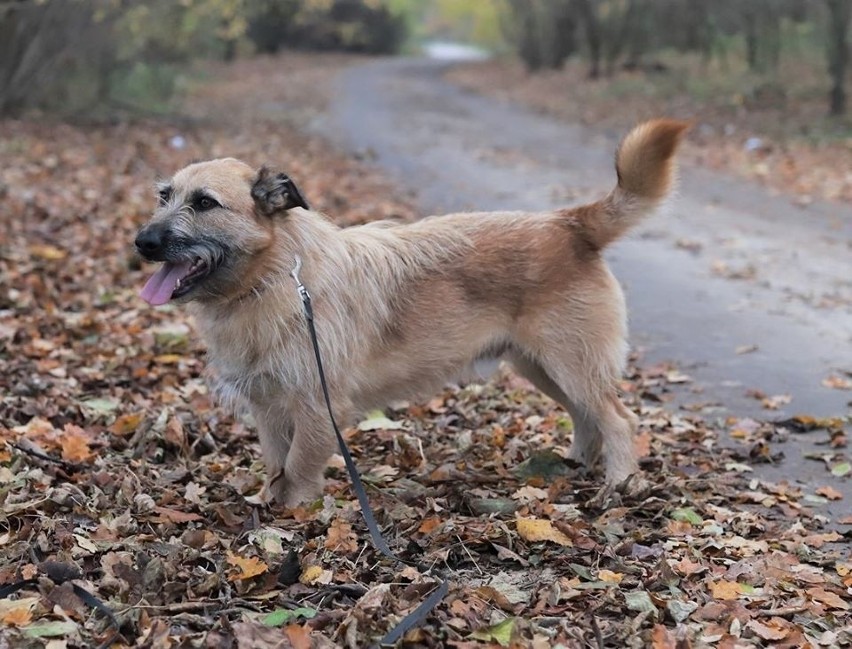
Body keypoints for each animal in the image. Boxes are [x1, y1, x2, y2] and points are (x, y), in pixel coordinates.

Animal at [135, 119, 692, 508]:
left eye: (205, 203)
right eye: (164, 196)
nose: (142, 242)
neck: (274, 279)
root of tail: (568, 222)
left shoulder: (316, 408)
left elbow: (297, 469)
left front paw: (294, 519)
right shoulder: (269, 409)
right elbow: (277, 465)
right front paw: (267, 507)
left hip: (571, 364)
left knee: (618, 419)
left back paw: (620, 483)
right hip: (542, 367)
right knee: (587, 416)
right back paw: (575, 464)